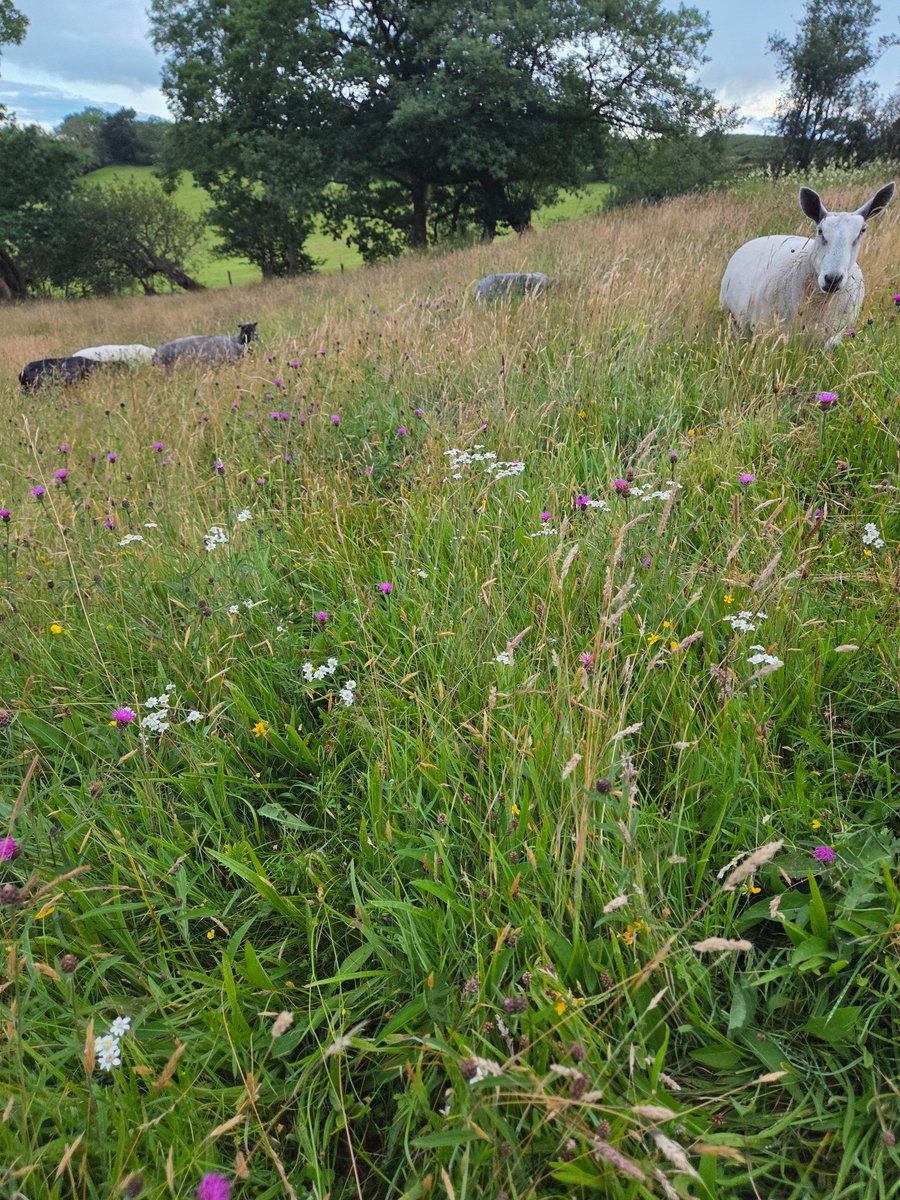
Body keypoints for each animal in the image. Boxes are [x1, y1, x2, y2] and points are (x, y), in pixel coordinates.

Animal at [720, 182, 895, 349]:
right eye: (820, 231)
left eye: (862, 230)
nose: (832, 279)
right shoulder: (766, 332)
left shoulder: (833, 335)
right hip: (734, 318)